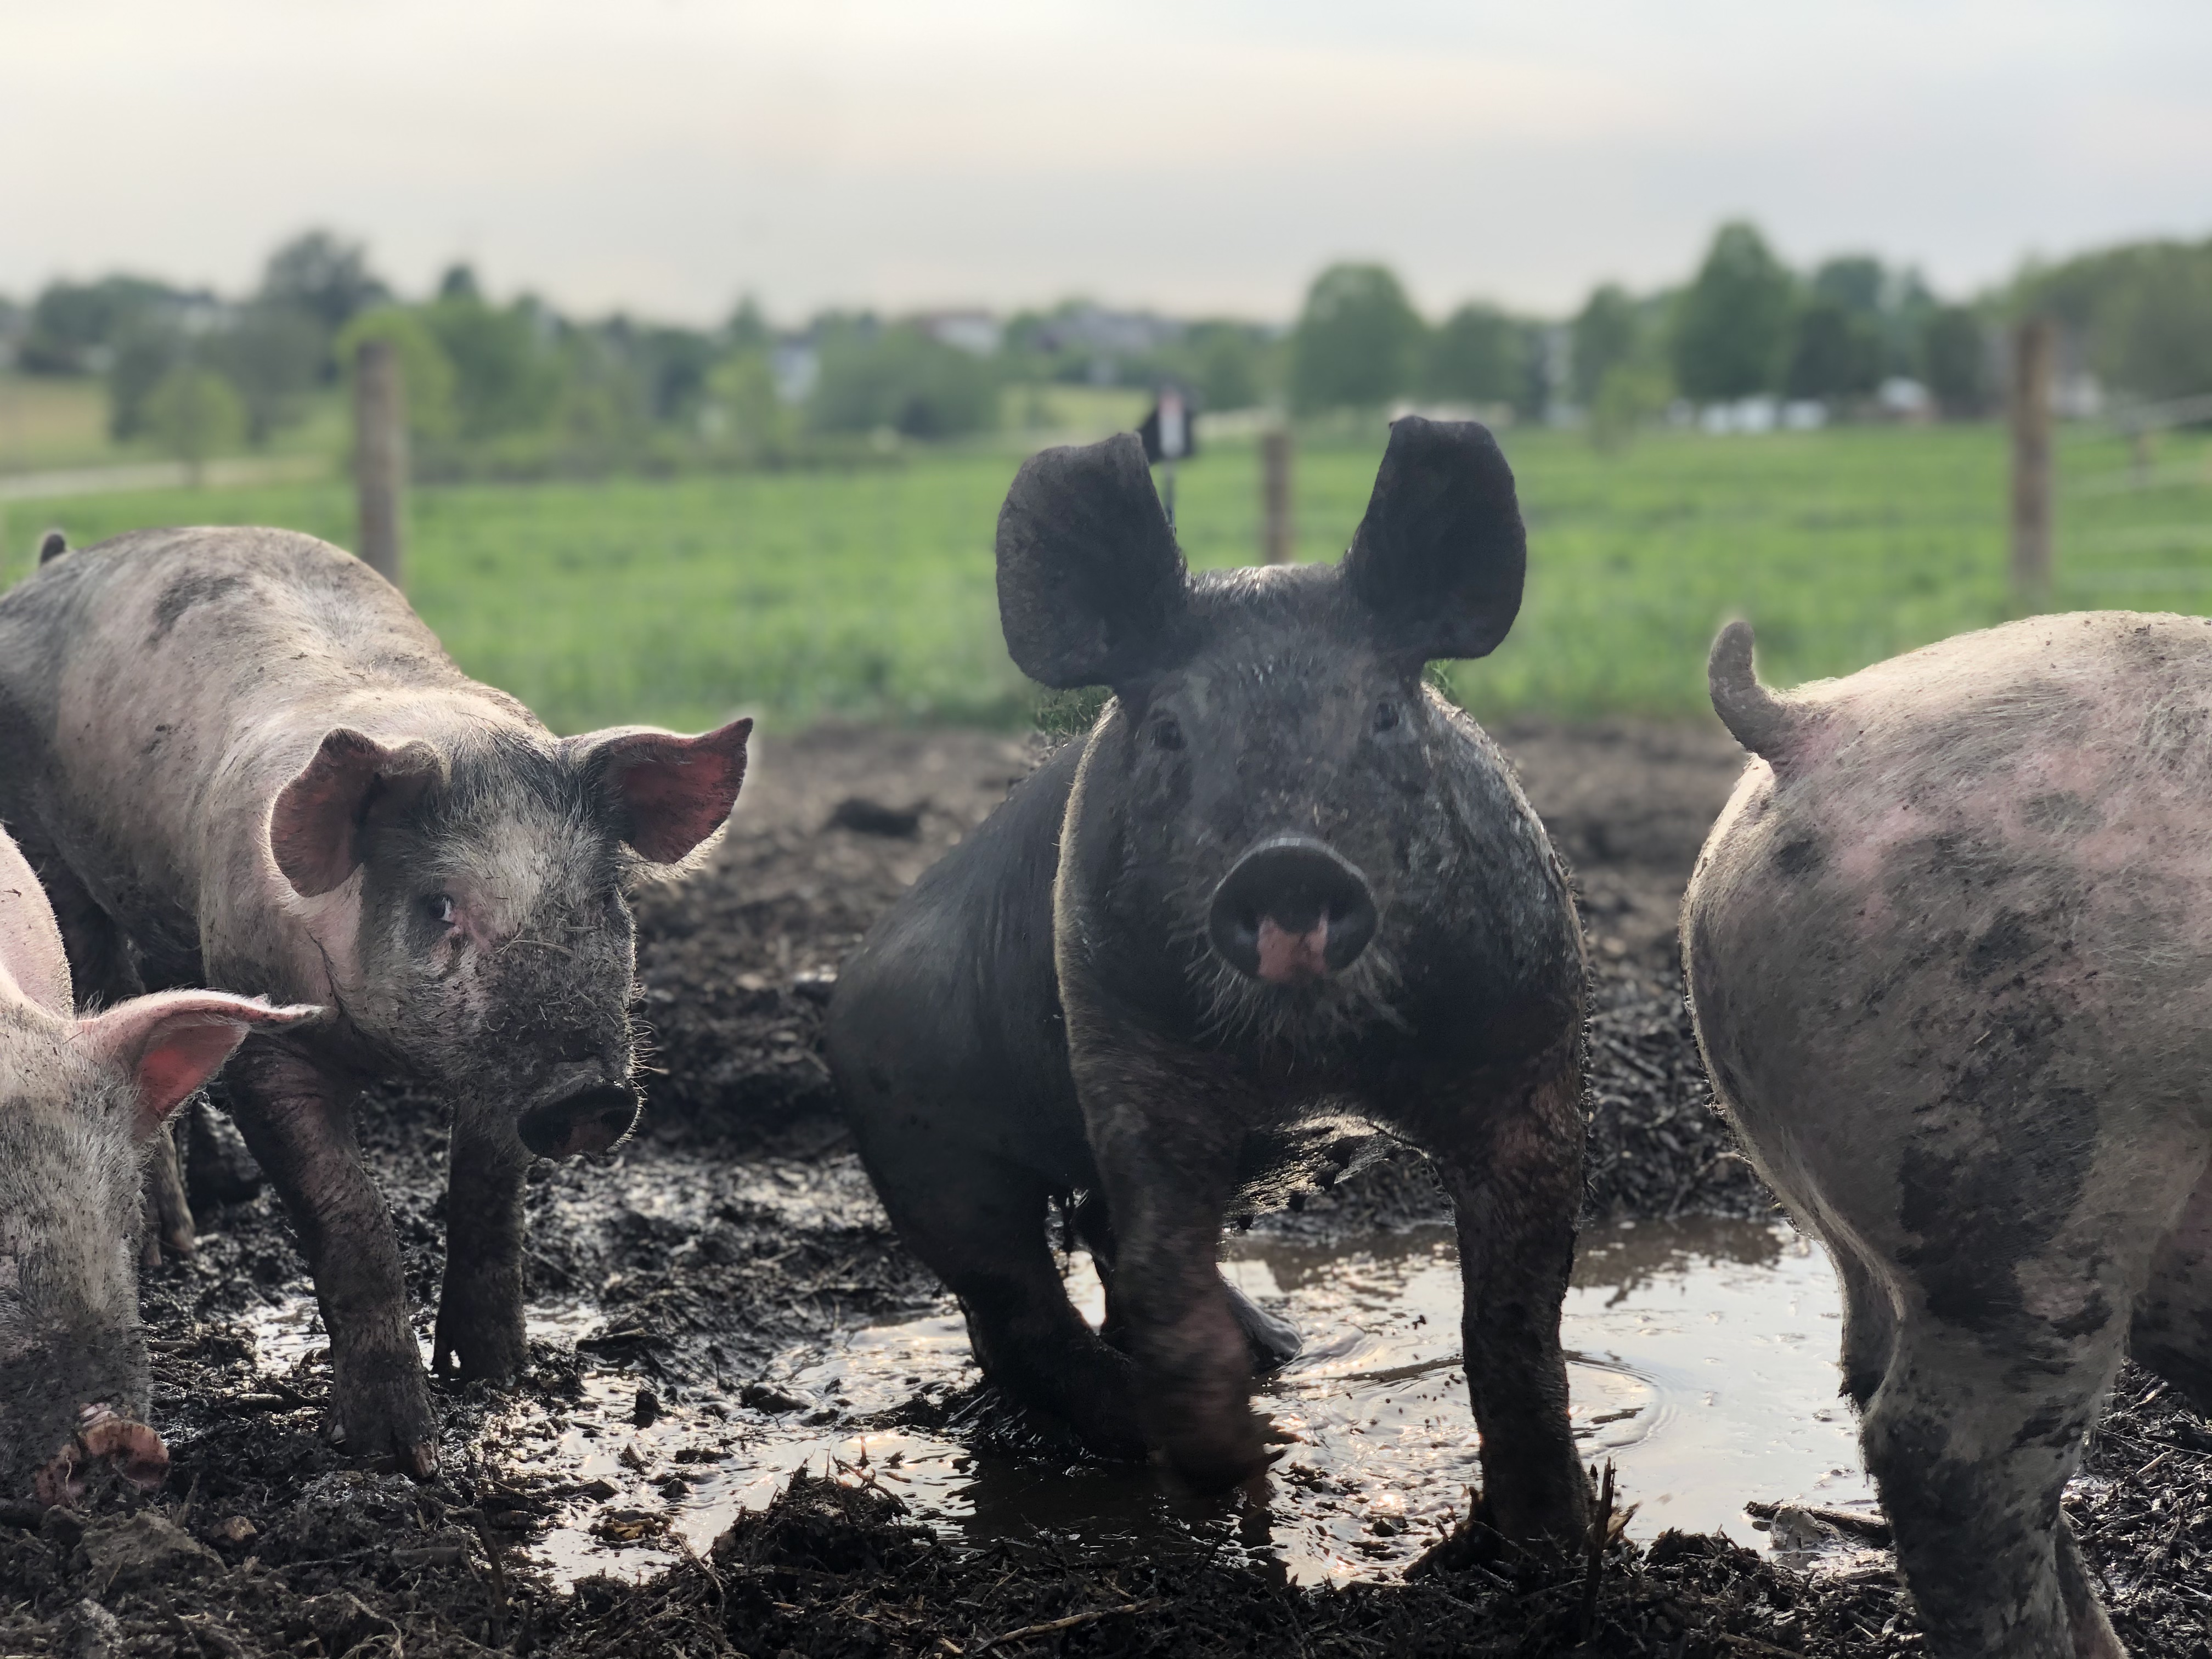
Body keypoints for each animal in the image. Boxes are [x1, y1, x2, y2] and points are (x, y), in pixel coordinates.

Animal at [828, 418, 1591, 1545]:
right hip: (918, 1132)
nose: (1288, 863)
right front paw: (1240, 1467)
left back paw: (1284, 1347)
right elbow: (1162, 1263)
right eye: (1171, 730)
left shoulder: (1530, 1040)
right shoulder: (1118, 1039)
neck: (1314, 1067)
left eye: (1384, 714)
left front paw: (1550, 1538)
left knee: (1083, 1244)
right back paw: (1190, 1418)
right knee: (1012, 1306)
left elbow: (1514, 1313)